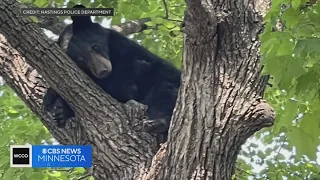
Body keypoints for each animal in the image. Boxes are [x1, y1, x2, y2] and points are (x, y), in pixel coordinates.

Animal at [42, 4, 181, 141]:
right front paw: (55, 104)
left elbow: (137, 79)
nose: (102, 71)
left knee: (164, 92)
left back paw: (157, 122)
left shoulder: (126, 50)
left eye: (95, 46)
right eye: (81, 61)